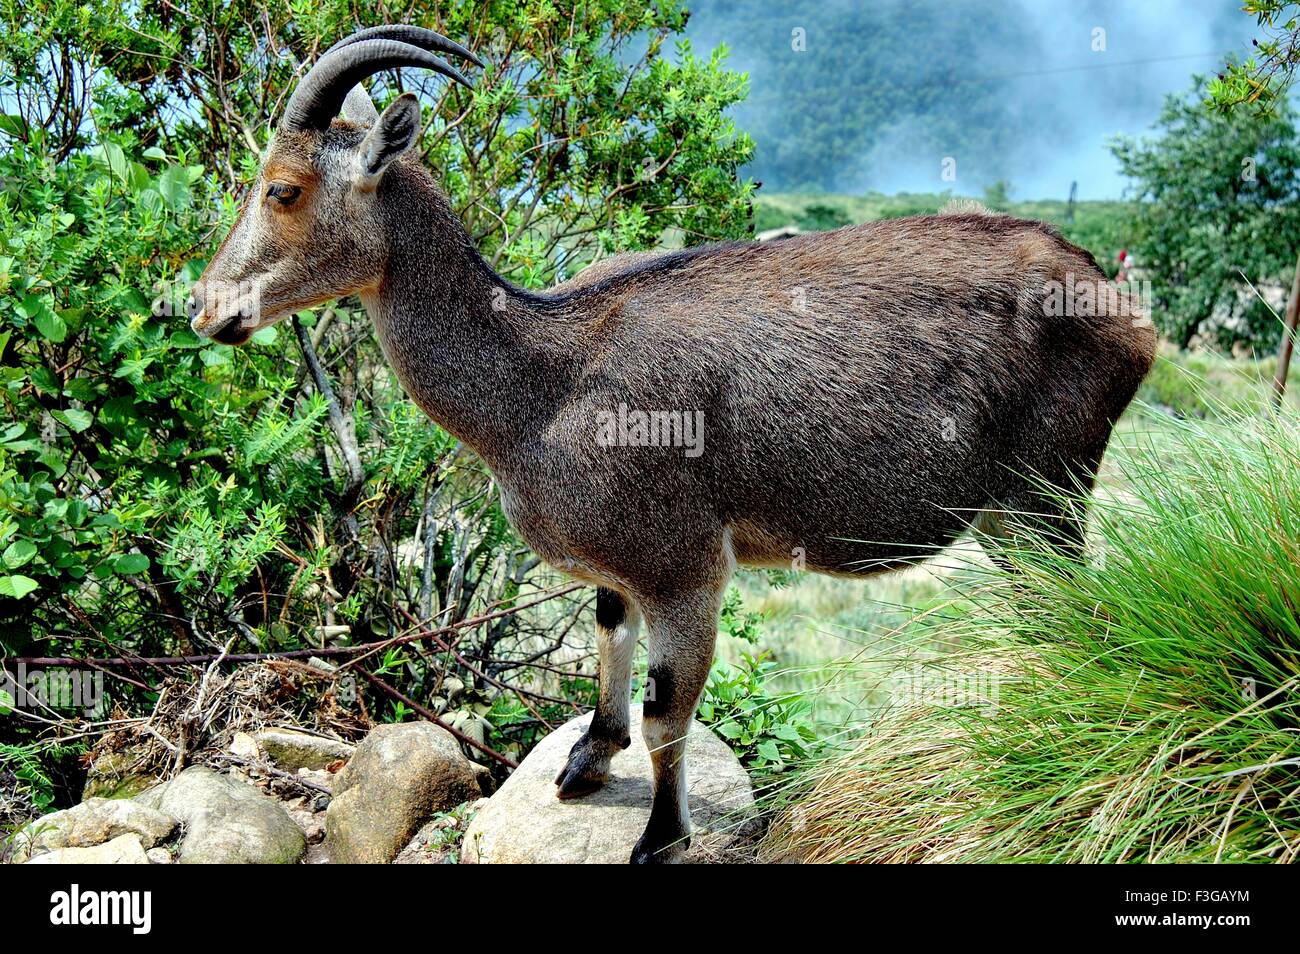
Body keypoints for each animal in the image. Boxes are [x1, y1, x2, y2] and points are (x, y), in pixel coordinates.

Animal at [185, 26, 1159, 868]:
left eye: (282, 188)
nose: (201, 308)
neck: (541, 381)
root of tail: (1120, 308)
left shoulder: (685, 565)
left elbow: (667, 714)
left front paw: (659, 836)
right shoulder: (623, 570)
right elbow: (608, 643)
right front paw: (585, 764)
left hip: (1047, 491)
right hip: (1010, 516)